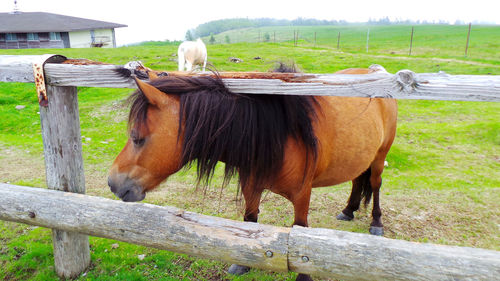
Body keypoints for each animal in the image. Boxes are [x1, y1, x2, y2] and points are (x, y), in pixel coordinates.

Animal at [107, 66, 396, 280]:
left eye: (137, 138)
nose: (113, 182)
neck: (279, 136)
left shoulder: (302, 196)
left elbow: (301, 235)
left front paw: (303, 275)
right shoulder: (251, 185)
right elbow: (249, 220)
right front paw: (243, 263)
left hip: (379, 157)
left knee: (375, 184)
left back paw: (376, 223)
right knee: (357, 180)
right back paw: (349, 209)